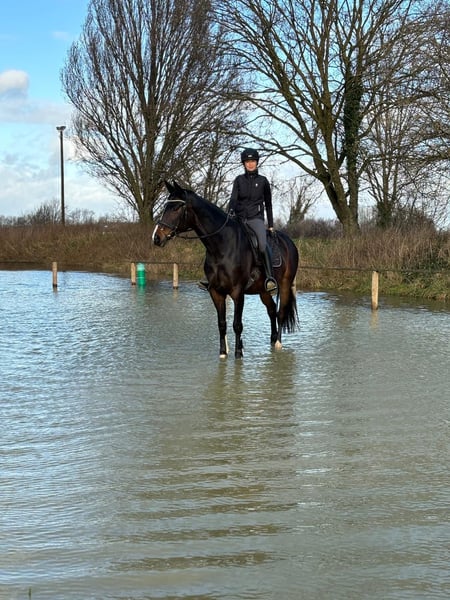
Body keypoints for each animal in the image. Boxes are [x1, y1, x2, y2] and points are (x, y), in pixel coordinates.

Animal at [152, 181, 299, 358]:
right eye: (166, 207)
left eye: (176, 208)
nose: (156, 237)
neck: (222, 246)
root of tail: (289, 242)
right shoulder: (216, 292)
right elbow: (221, 323)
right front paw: (223, 353)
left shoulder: (237, 293)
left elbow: (237, 324)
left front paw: (238, 353)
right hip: (263, 290)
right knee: (271, 310)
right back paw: (272, 339)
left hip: (284, 285)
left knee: (280, 312)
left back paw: (277, 343)